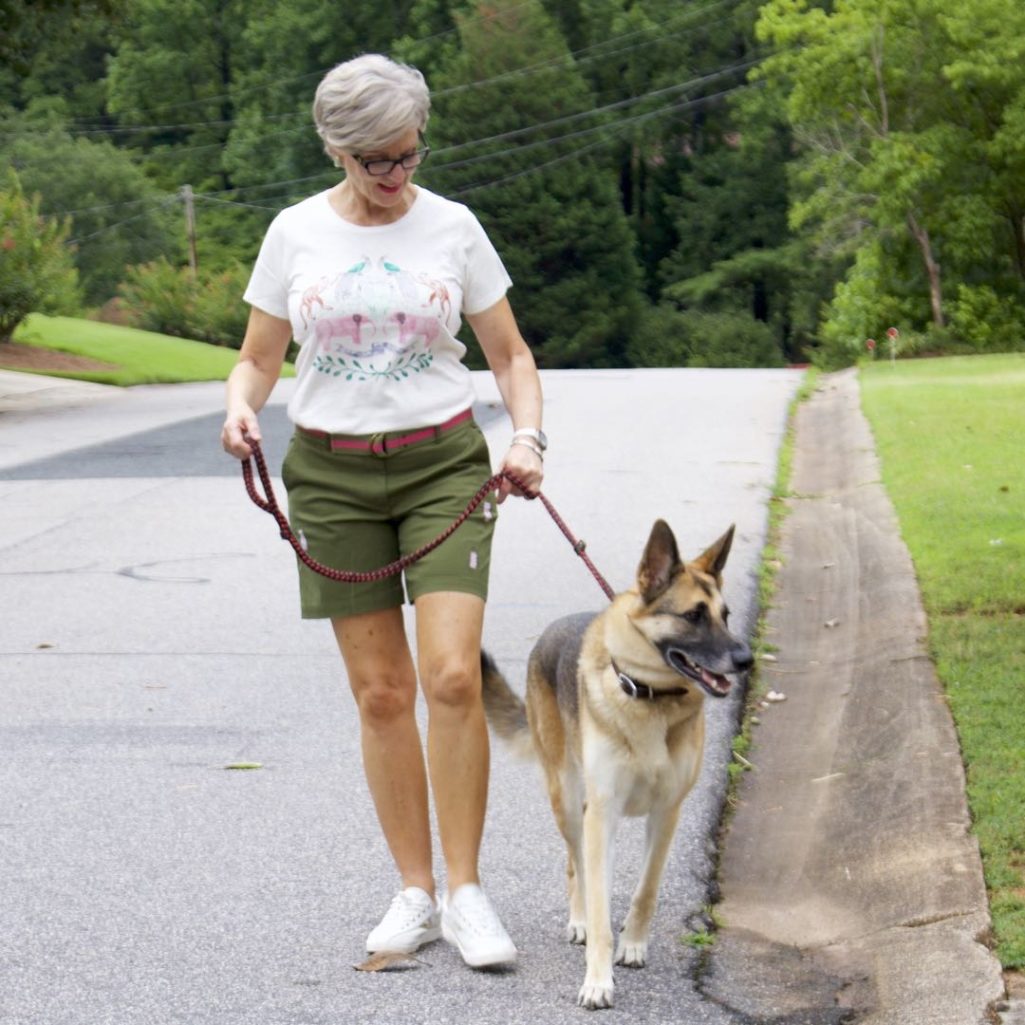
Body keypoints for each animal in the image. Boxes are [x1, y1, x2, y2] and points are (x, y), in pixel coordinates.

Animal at [479, 520, 754, 1008]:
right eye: (693, 616)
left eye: (726, 615)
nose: (746, 660)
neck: (649, 696)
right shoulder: (602, 813)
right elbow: (599, 897)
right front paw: (597, 978)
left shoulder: (666, 814)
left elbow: (646, 889)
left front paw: (633, 944)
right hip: (568, 803)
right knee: (576, 866)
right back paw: (580, 920)